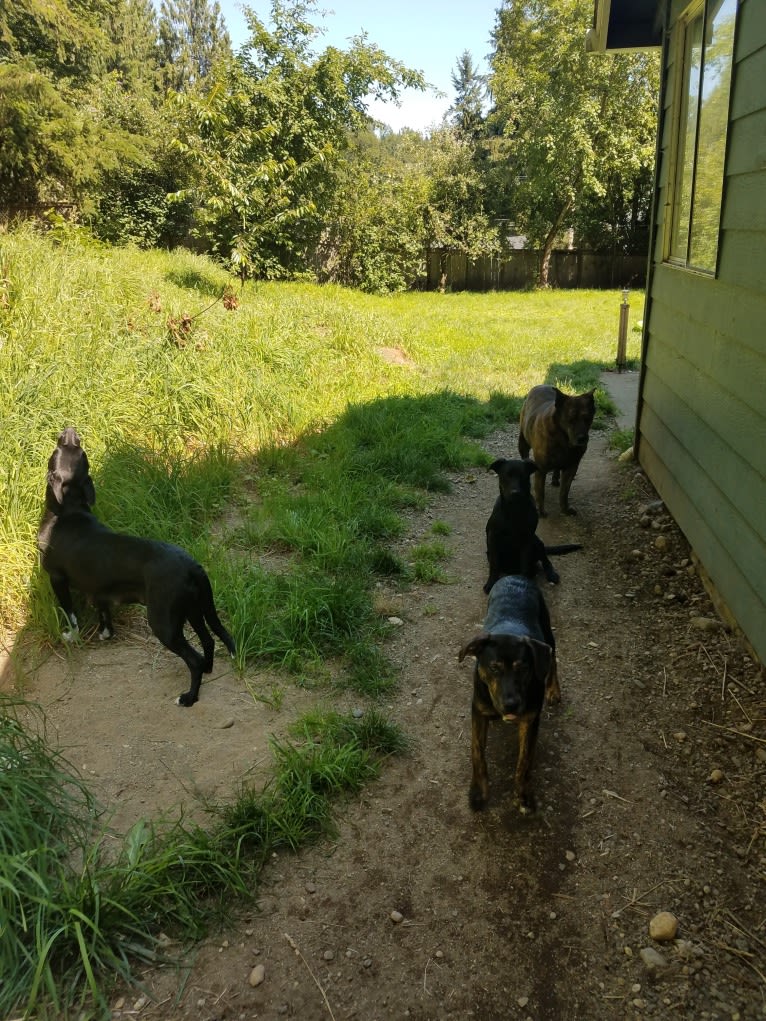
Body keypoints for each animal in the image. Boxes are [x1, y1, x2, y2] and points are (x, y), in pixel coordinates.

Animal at [37, 426, 235, 706]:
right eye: (79, 452)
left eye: (61, 451)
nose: (71, 432)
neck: (68, 511)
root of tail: (192, 565)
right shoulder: (100, 589)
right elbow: (103, 611)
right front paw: (105, 633)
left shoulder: (57, 579)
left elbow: (70, 614)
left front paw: (71, 638)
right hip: (195, 610)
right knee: (208, 641)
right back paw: (207, 670)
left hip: (164, 623)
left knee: (193, 659)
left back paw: (188, 698)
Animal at [459, 575, 559, 812]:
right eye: (494, 668)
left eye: (523, 668)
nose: (511, 704)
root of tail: (516, 575)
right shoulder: (478, 711)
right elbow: (477, 753)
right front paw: (479, 792)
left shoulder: (530, 720)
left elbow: (524, 761)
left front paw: (522, 793)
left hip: (548, 634)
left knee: (552, 660)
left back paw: (554, 690)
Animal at [482, 461, 584, 596]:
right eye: (506, 476)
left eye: (523, 476)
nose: (515, 493)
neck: (514, 510)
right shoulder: (493, 538)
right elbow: (494, 565)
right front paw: (491, 583)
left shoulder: (527, 540)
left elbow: (525, 563)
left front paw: (524, 583)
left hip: (537, 542)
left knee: (545, 560)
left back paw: (550, 574)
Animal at [518, 383, 596, 514]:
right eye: (570, 420)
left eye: (587, 419)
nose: (582, 438)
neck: (564, 438)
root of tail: (539, 386)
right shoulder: (541, 469)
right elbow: (540, 492)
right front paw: (541, 511)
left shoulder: (571, 467)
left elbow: (564, 492)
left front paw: (565, 509)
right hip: (523, 443)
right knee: (524, 456)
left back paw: (555, 478)